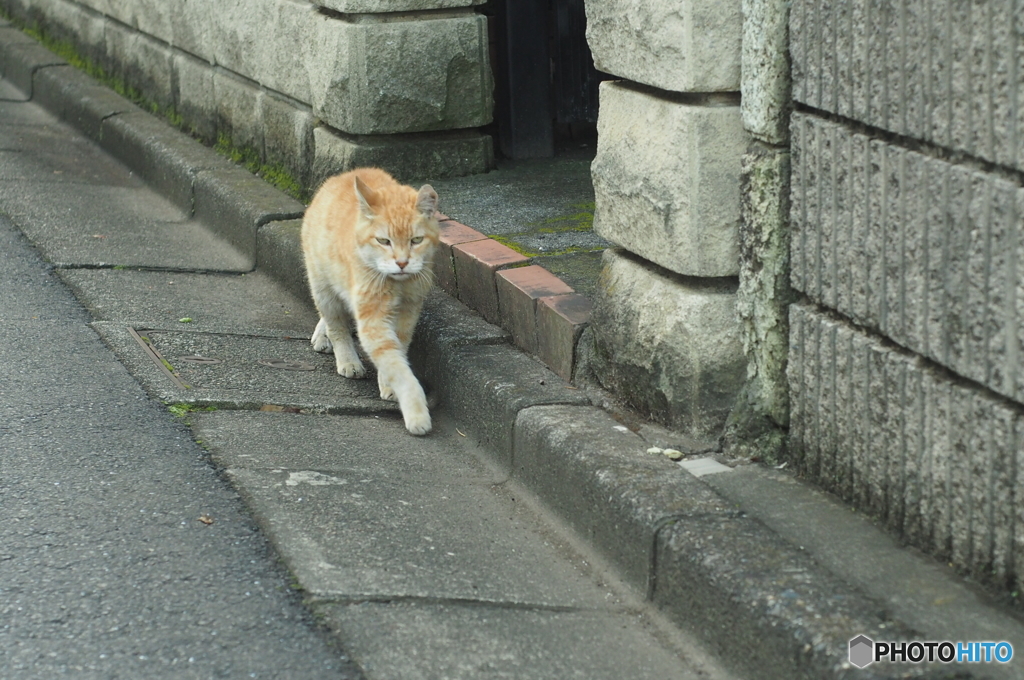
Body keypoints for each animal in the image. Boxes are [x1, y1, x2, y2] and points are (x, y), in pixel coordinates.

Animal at [299, 170, 436, 436]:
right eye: (384, 241)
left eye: (416, 240)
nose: (402, 263)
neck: (398, 284)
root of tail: (343, 175)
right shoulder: (373, 320)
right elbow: (397, 366)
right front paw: (416, 413)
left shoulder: (408, 312)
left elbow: (397, 352)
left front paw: (388, 385)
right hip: (322, 287)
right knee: (336, 325)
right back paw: (347, 360)